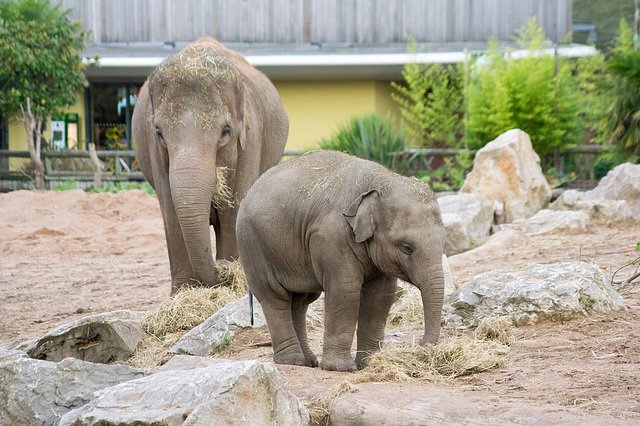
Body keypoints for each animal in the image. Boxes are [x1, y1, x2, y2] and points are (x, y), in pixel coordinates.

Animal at [134, 38, 288, 292]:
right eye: (159, 133)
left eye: (225, 132)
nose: (224, 266)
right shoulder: (154, 151)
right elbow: (171, 215)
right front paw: (182, 293)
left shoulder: (251, 139)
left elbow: (232, 213)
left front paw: (232, 285)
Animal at [236, 151, 444, 372]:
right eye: (406, 247)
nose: (421, 345)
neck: (378, 180)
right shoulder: (331, 237)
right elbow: (345, 289)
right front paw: (340, 368)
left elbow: (381, 295)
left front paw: (369, 363)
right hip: (252, 245)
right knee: (275, 297)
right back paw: (292, 361)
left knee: (300, 301)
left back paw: (308, 362)